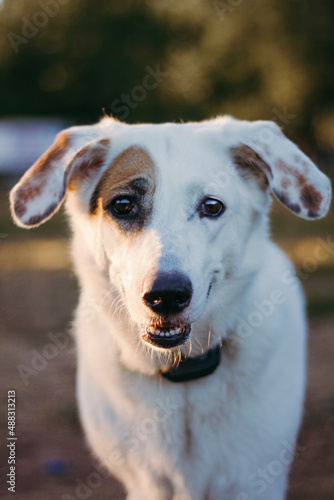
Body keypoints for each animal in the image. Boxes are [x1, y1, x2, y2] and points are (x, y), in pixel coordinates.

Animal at [9, 115, 332, 498]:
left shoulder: (253, 479)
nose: (167, 295)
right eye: (123, 205)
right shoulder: (148, 482)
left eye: (212, 206)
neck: (181, 370)